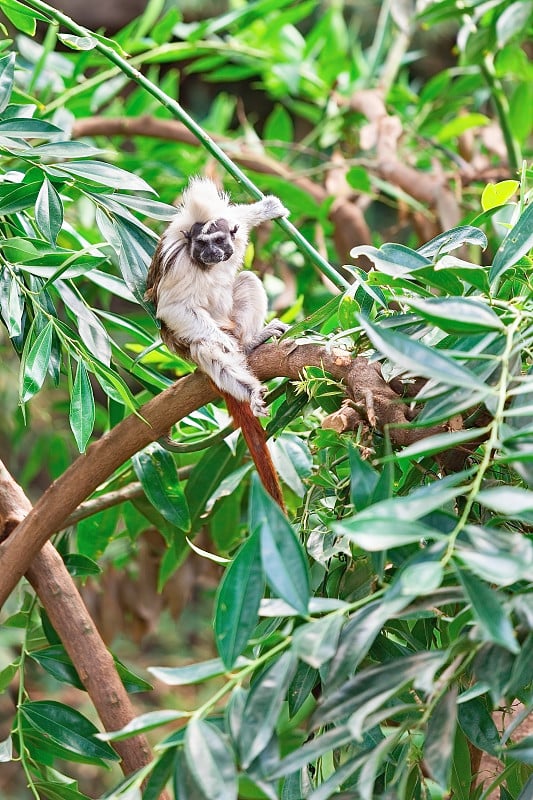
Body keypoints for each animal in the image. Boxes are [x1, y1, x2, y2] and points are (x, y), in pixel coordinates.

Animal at [143, 178, 288, 510]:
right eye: (202, 244)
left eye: (218, 241)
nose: (211, 252)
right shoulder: (180, 265)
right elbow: (172, 309)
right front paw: (225, 345)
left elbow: (243, 221)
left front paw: (265, 209)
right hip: (188, 344)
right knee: (206, 347)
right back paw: (247, 386)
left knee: (247, 280)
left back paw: (249, 343)